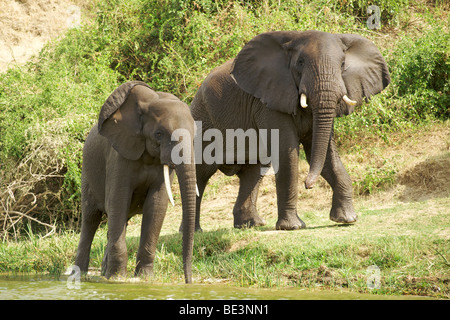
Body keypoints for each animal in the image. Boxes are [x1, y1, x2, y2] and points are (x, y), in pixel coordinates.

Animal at [74, 80, 196, 282]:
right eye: (159, 134)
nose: (188, 282)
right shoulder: (118, 156)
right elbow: (118, 199)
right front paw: (118, 279)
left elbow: (156, 204)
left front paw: (145, 278)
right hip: (87, 172)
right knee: (91, 219)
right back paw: (80, 274)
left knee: (118, 221)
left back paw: (104, 272)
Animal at [188, 29, 388, 230]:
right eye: (300, 62)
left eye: (342, 64)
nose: (308, 184)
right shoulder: (268, 100)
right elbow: (287, 152)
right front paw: (293, 227)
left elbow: (325, 153)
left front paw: (347, 219)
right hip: (202, 121)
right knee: (200, 174)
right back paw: (196, 231)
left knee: (254, 172)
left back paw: (251, 225)